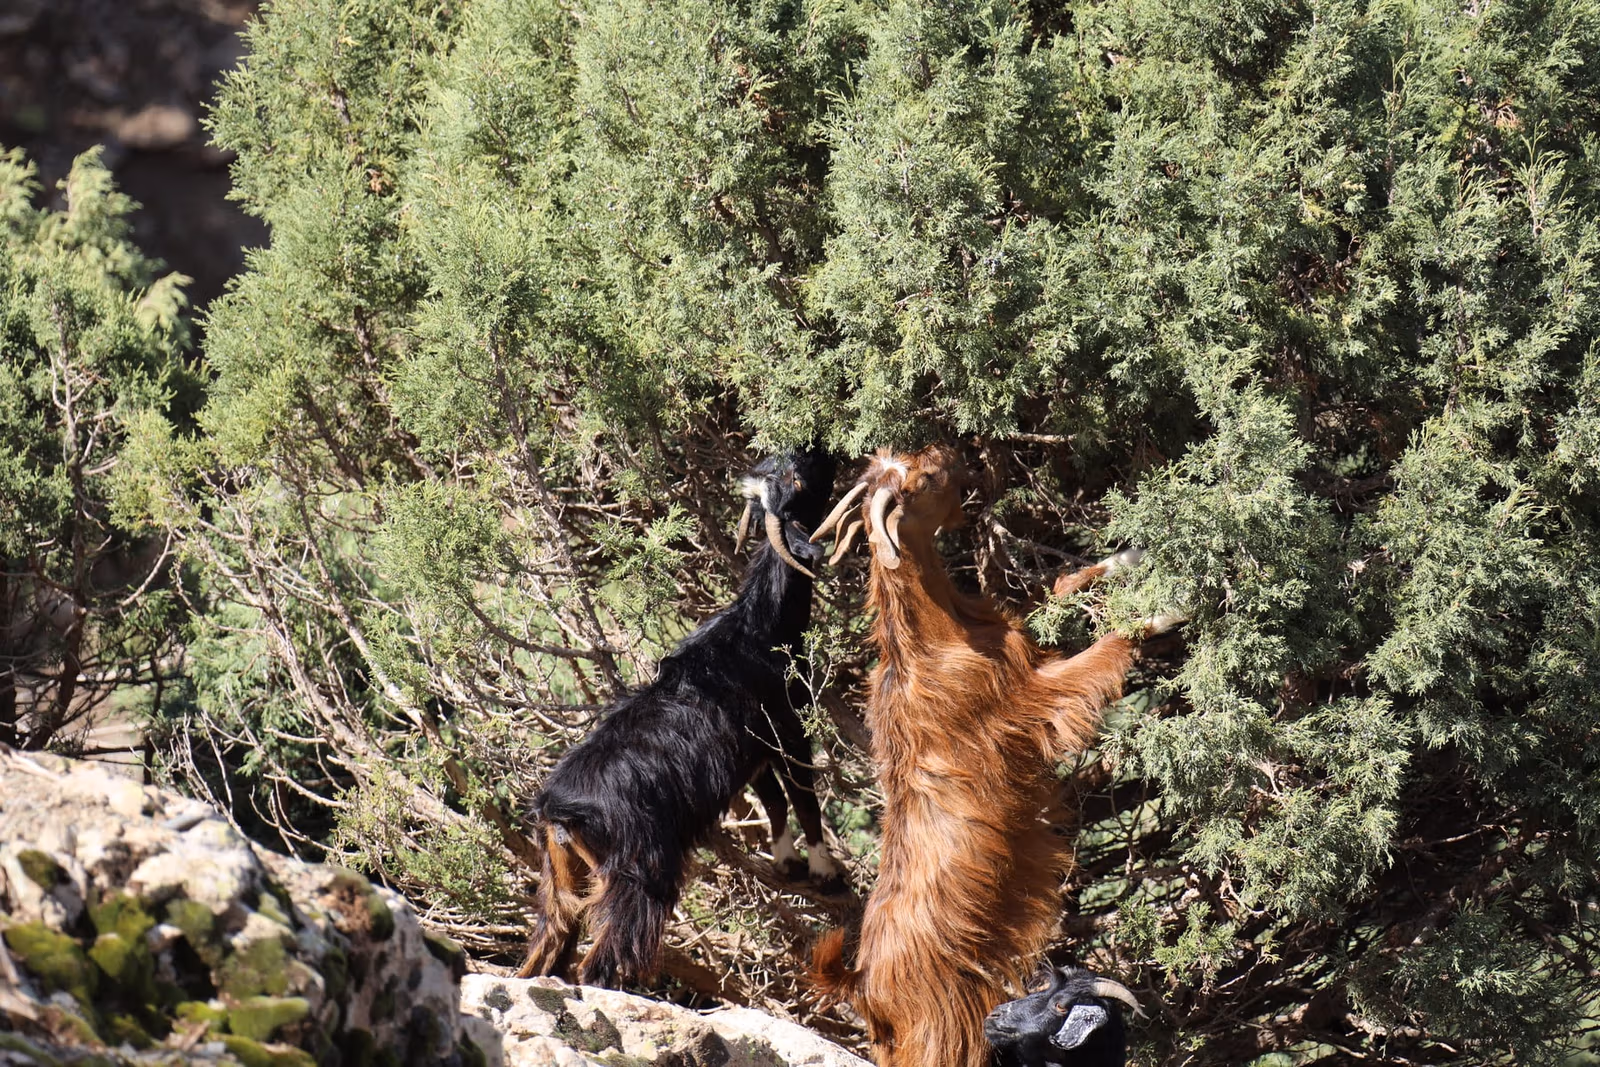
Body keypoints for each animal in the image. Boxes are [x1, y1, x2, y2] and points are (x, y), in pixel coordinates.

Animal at [519, 448, 847, 987]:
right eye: (795, 477)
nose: (823, 450)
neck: (758, 629)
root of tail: (556, 810)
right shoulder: (787, 729)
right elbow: (802, 796)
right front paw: (825, 871)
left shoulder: (752, 754)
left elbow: (775, 801)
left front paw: (787, 862)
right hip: (639, 873)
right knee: (599, 961)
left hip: (562, 881)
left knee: (547, 945)